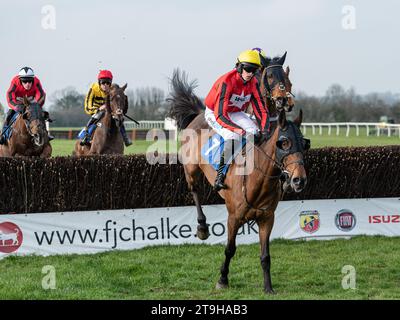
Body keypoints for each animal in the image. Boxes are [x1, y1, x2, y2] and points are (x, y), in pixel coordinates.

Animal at [166, 70, 310, 296]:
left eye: (304, 144)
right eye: (284, 143)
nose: (298, 180)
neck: (258, 178)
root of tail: (198, 114)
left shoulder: (267, 218)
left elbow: (265, 256)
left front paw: (268, 287)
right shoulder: (233, 217)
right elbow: (230, 249)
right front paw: (222, 279)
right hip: (191, 169)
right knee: (194, 190)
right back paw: (202, 227)